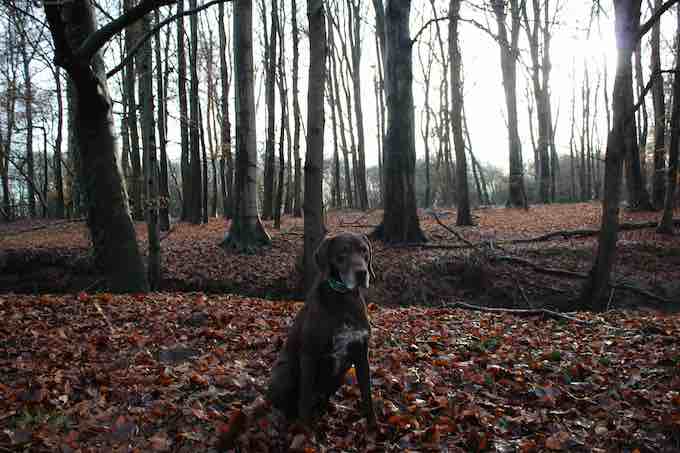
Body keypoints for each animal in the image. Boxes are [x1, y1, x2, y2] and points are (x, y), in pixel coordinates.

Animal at [266, 231, 378, 430]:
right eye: (343, 252)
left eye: (364, 251)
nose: (361, 273)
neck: (343, 300)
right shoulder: (309, 355)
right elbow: (304, 397)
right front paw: (305, 430)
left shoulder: (361, 353)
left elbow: (367, 393)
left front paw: (373, 426)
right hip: (284, 371)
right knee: (283, 404)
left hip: (340, 375)